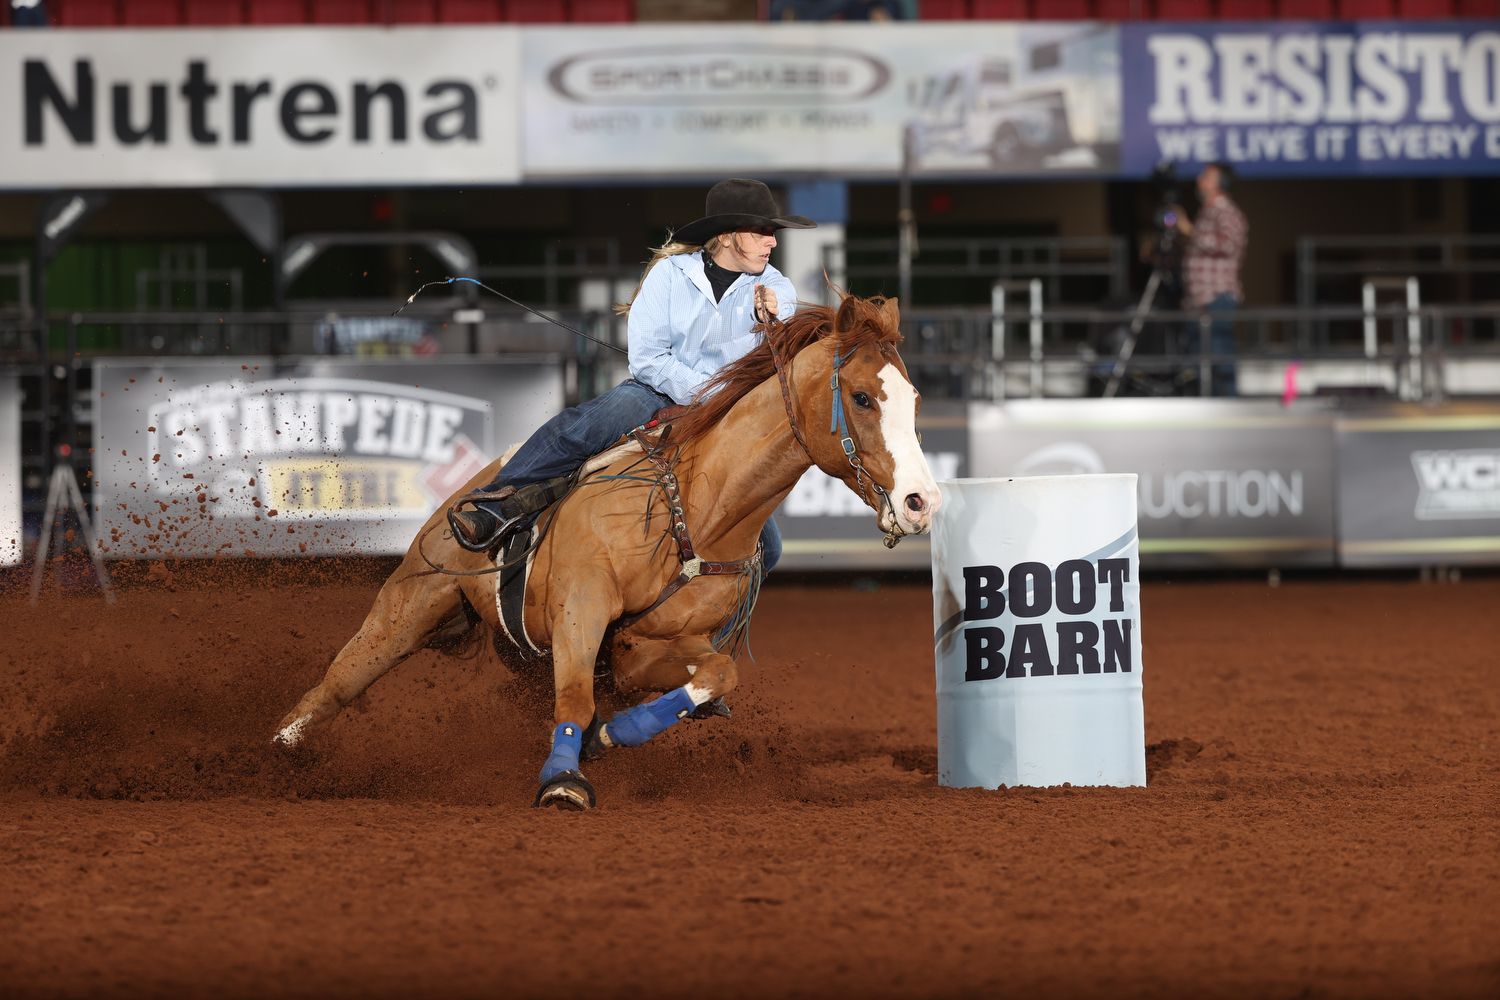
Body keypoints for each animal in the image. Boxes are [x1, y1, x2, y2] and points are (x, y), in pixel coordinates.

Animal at [270, 293, 936, 809]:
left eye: (914, 399)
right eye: (861, 397)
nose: (920, 500)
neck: (696, 509)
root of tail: (471, 487)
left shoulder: (645, 650)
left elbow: (716, 675)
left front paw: (611, 736)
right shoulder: (581, 608)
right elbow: (575, 697)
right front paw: (564, 780)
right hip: (410, 602)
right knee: (341, 679)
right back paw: (276, 752)